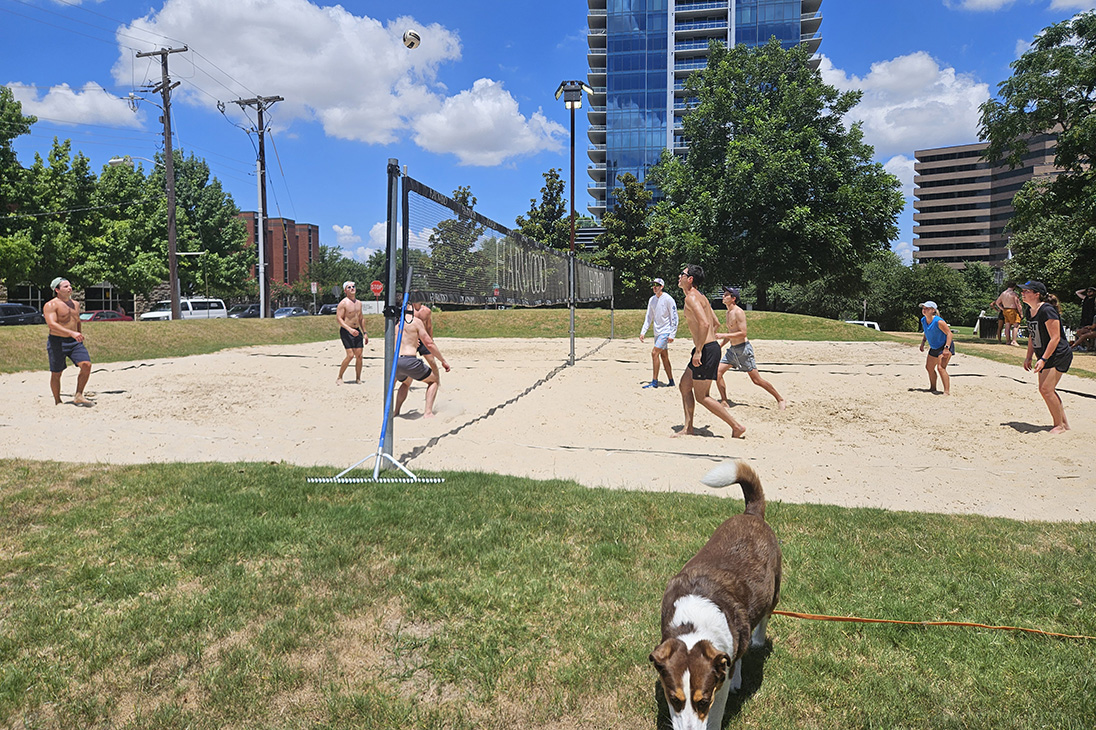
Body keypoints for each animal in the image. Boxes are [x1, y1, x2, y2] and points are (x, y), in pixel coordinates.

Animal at [648, 460, 780, 727]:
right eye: (674, 699)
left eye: (704, 701)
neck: (694, 623)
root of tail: (751, 514)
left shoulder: (719, 686)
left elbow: (717, 713)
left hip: (775, 590)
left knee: (762, 620)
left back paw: (757, 642)